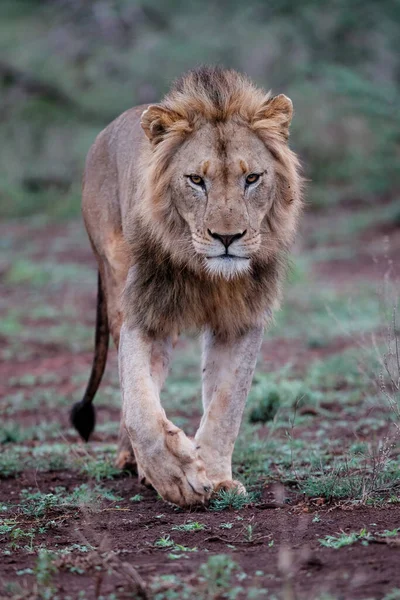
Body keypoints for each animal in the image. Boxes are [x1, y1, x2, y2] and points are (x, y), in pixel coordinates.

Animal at [71, 65, 304, 506]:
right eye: (196, 180)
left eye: (252, 178)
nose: (227, 237)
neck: (207, 275)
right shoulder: (144, 312)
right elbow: (140, 404)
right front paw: (175, 476)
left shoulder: (242, 319)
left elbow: (227, 405)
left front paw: (216, 476)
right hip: (114, 278)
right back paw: (134, 462)